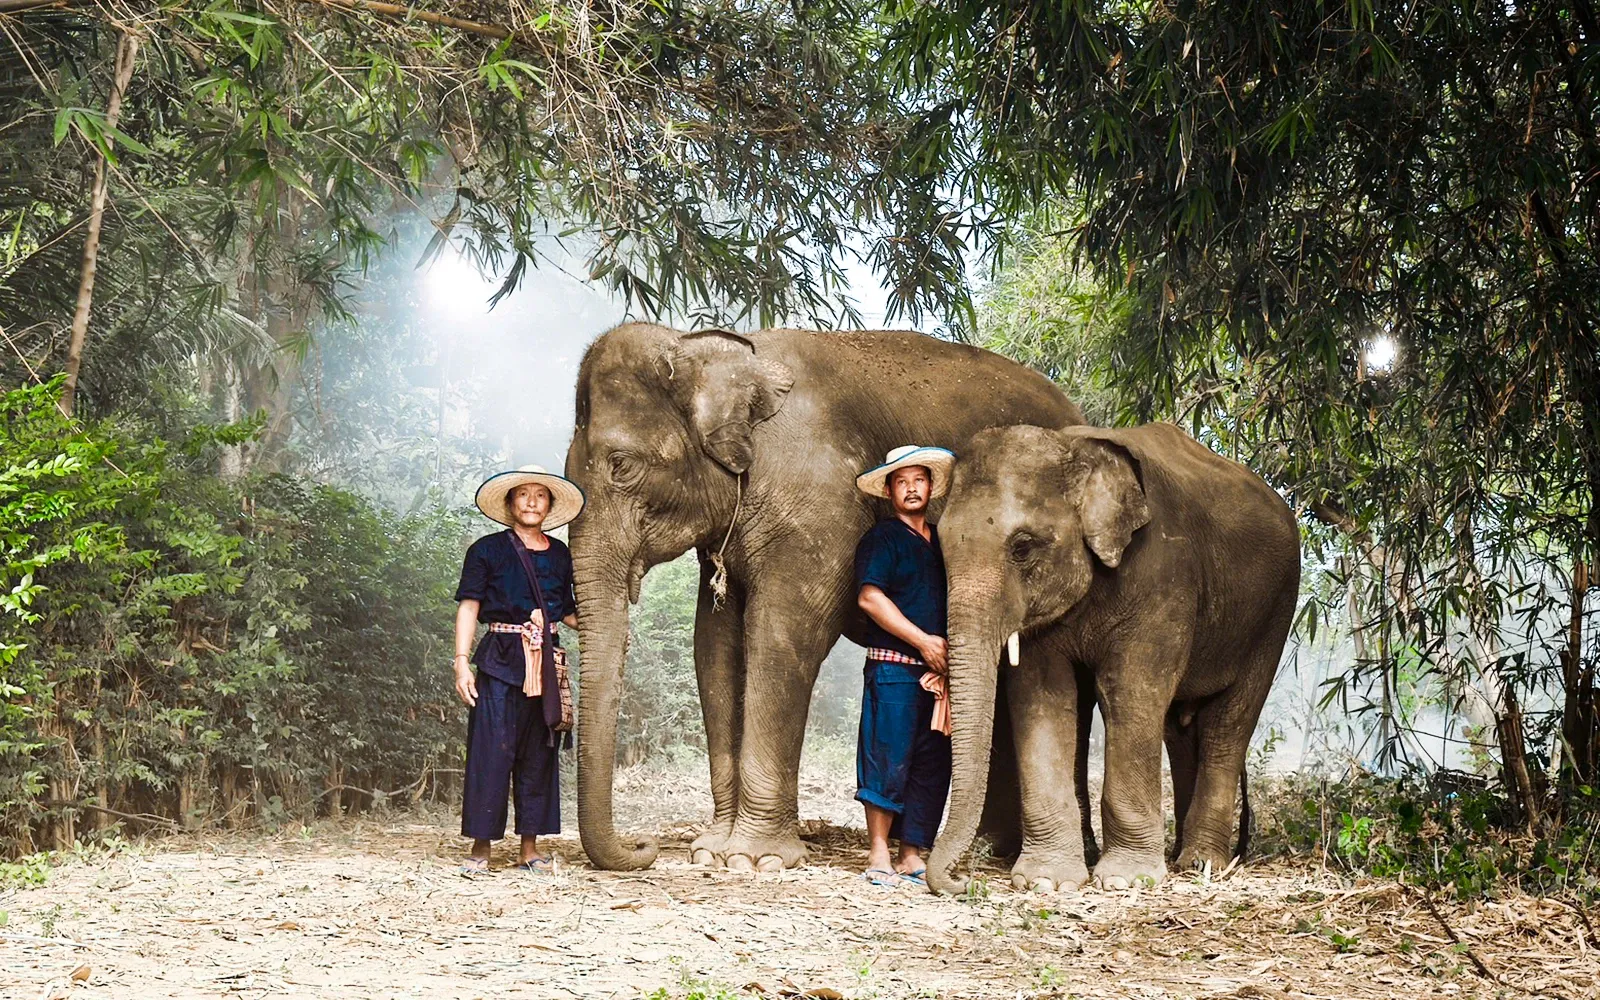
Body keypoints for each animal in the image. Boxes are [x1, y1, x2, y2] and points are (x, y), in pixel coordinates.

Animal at [563, 323, 1084, 871]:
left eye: (621, 465)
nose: (643, 847)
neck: (712, 349)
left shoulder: (820, 503)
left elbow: (784, 633)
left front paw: (754, 859)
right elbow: (714, 644)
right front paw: (711, 851)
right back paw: (990, 849)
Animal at [926, 422, 1301, 893]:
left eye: (1022, 547)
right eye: (939, 546)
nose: (963, 881)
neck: (1072, 447)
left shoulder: (1164, 577)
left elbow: (1128, 691)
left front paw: (1126, 880)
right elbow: (1044, 696)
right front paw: (1047, 881)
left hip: (1274, 614)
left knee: (1228, 725)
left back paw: (1203, 865)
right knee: (1180, 729)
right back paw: (1183, 859)